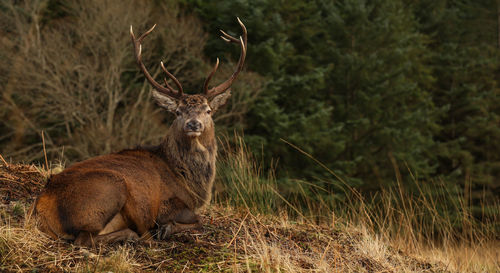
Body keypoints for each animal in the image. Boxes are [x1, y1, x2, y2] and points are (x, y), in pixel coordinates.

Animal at [32, 18, 247, 245]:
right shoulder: (166, 204)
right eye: (178, 111)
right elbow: (199, 220)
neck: (189, 183)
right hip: (110, 187)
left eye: (208, 110)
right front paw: (166, 229)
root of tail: (42, 206)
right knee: (85, 239)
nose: (193, 124)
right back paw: (136, 235)